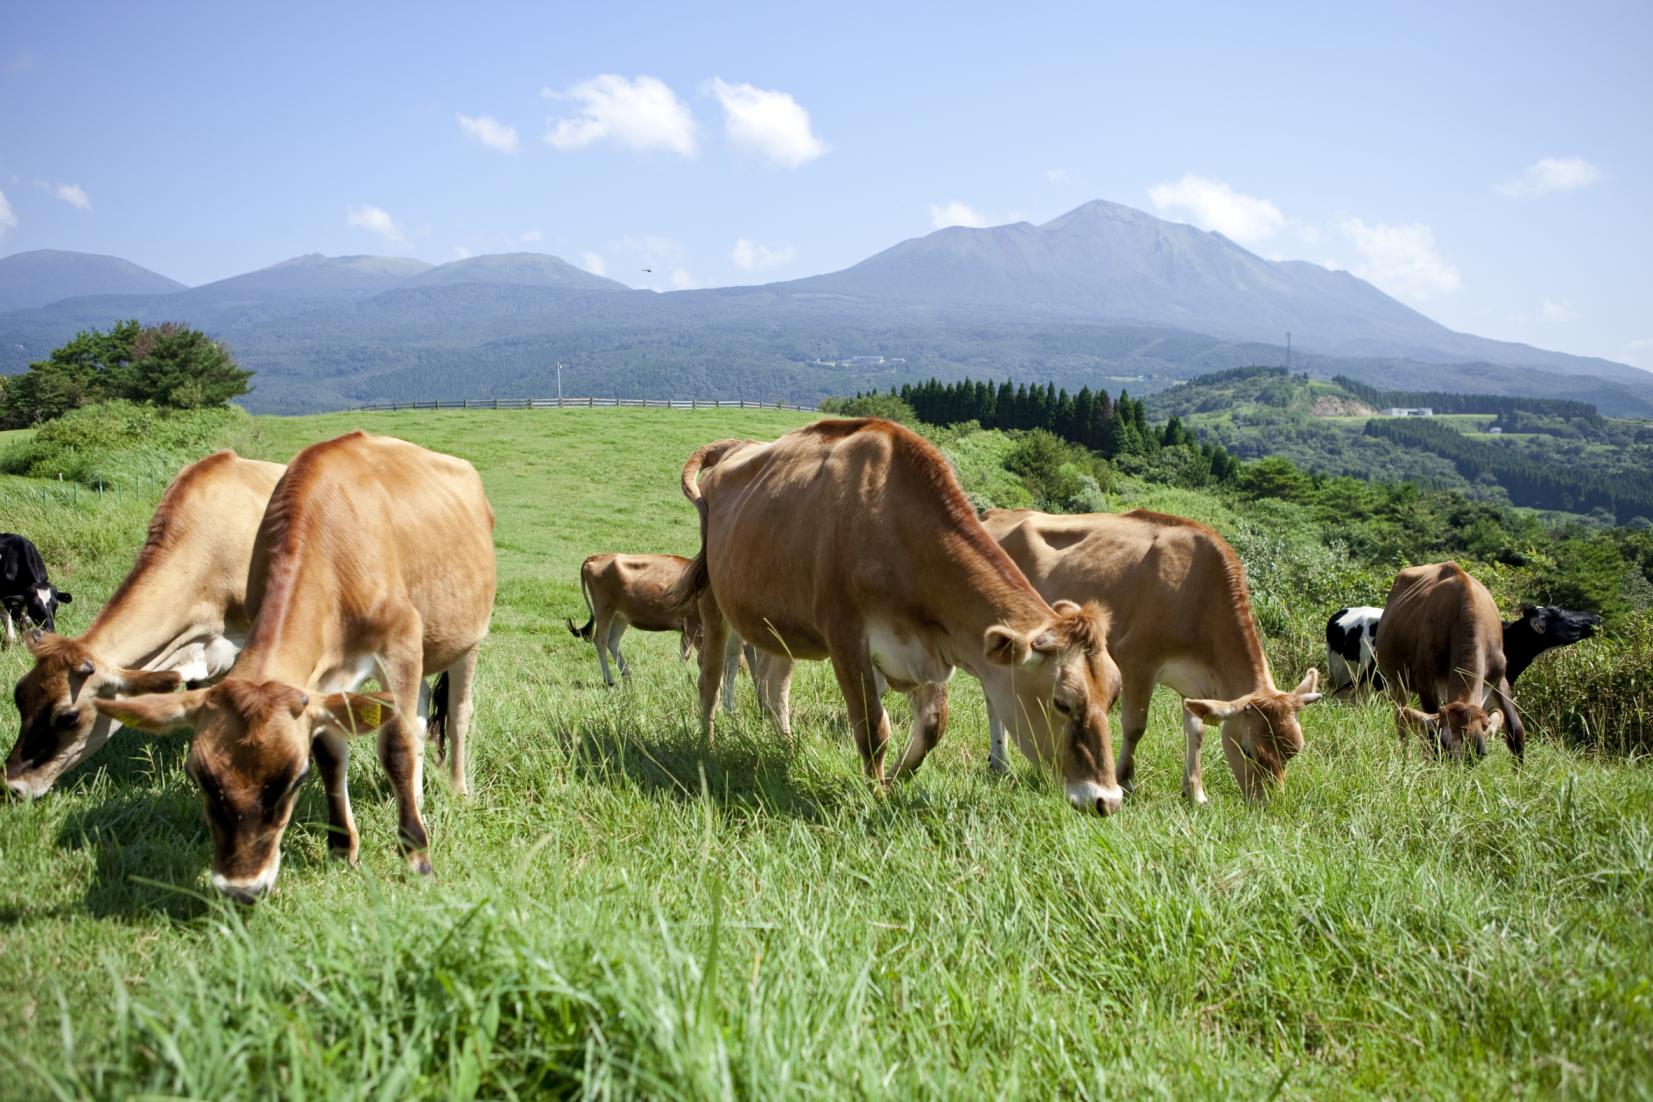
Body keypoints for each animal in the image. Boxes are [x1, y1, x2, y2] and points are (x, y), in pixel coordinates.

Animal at [93, 429, 492, 898]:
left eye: (294, 780)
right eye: (199, 777)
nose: (241, 888)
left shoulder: (400, 644)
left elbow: (396, 747)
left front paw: (417, 856)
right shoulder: (319, 681)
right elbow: (332, 753)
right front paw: (342, 848)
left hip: (467, 640)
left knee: (457, 714)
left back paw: (458, 789)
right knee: (419, 714)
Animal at [667, 418, 1124, 816]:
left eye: (1113, 696)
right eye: (1063, 702)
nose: (1107, 799)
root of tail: (735, 448)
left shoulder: (927, 647)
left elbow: (933, 726)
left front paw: (894, 782)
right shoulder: (846, 638)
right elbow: (873, 729)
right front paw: (876, 795)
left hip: (781, 625)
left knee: (774, 684)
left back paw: (786, 747)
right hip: (713, 601)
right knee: (710, 680)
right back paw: (708, 744)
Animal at [978, 508, 1315, 802]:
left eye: (1294, 751)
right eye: (1247, 750)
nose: (1268, 802)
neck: (1199, 594)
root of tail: (995, 513)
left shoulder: (1194, 684)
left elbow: (1196, 732)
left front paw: (1195, 793)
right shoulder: (1137, 661)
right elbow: (1135, 726)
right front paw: (1125, 781)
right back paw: (1001, 762)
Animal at [1368, 565, 1520, 763]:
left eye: (1479, 755)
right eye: (1446, 747)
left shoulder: (1498, 677)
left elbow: (1516, 730)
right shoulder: (1426, 683)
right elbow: (1430, 735)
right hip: (1397, 681)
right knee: (1402, 723)